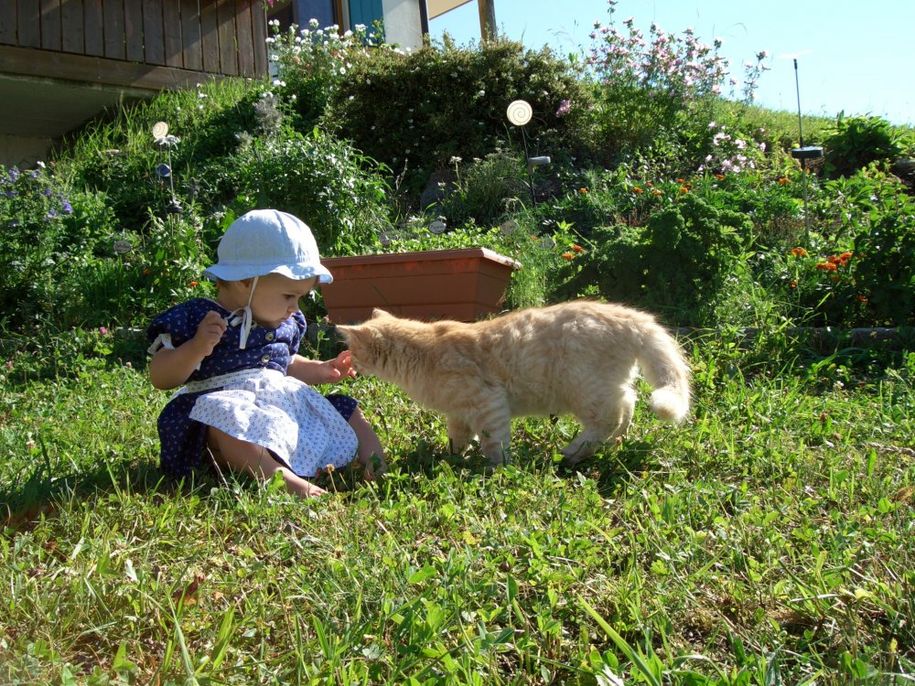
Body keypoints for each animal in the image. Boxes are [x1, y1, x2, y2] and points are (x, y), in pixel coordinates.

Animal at [340, 302, 692, 468]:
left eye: (353, 351)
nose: (347, 361)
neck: (424, 352)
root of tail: (634, 317)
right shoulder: (458, 413)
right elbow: (457, 439)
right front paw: (452, 459)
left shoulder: (488, 403)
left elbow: (493, 443)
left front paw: (495, 468)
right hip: (605, 387)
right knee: (628, 405)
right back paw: (613, 444)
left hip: (584, 388)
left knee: (609, 418)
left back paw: (572, 453)